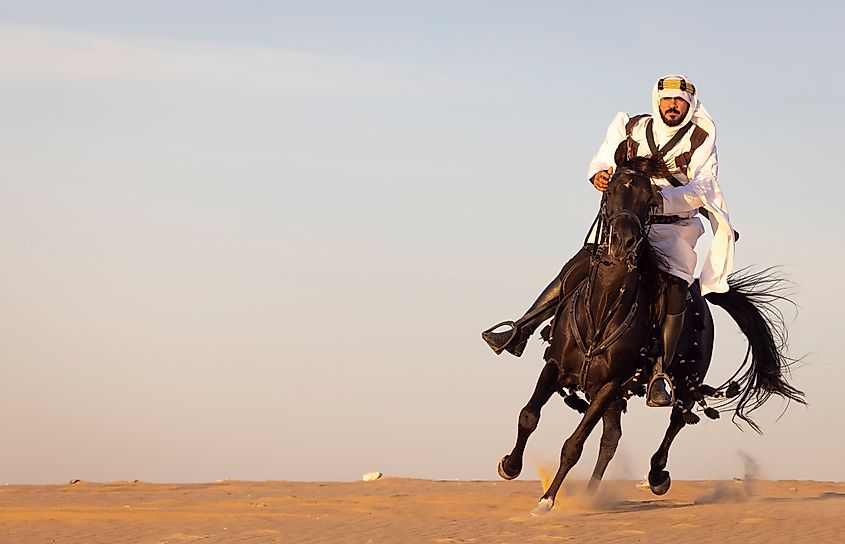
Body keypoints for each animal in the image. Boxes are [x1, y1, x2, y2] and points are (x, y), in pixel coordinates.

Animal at [494, 157, 804, 516]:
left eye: (648, 200)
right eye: (611, 190)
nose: (622, 242)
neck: (602, 310)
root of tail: (700, 292)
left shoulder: (610, 384)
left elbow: (573, 444)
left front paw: (546, 500)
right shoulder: (556, 367)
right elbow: (529, 416)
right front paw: (510, 465)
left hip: (683, 383)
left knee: (675, 421)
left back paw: (656, 475)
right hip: (617, 395)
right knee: (611, 439)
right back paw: (592, 493)